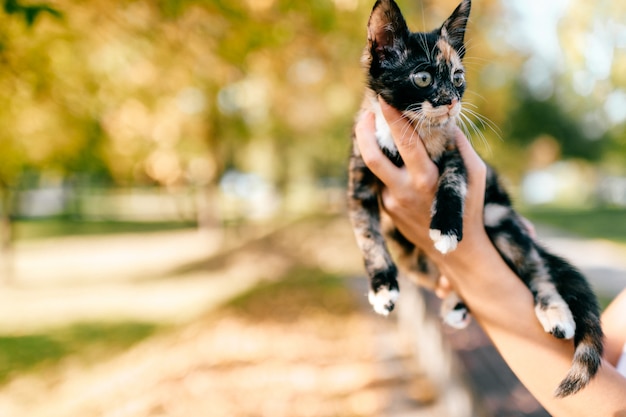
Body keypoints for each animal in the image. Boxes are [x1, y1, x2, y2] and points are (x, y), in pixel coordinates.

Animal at [348, 0, 604, 396]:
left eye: (457, 77)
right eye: (423, 78)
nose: (451, 101)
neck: (413, 131)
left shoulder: (458, 154)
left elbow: (453, 183)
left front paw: (447, 227)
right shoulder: (359, 177)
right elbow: (367, 236)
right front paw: (382, 288)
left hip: (500, 217)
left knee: (538, 269)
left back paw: (555, 312)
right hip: (414, 258)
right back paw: (455, 303)